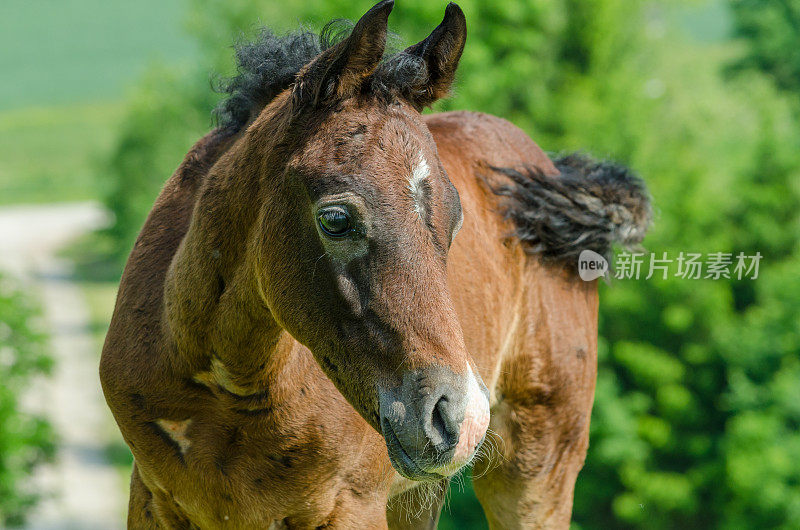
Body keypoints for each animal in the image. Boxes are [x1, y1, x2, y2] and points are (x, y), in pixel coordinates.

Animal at [100, 2, 648, 524]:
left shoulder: (350, 504)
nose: (457, 417)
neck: (226, 390)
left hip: (538, 465)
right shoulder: (152, 496)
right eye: (336, 219)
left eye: (455, 220)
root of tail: (550, 172)